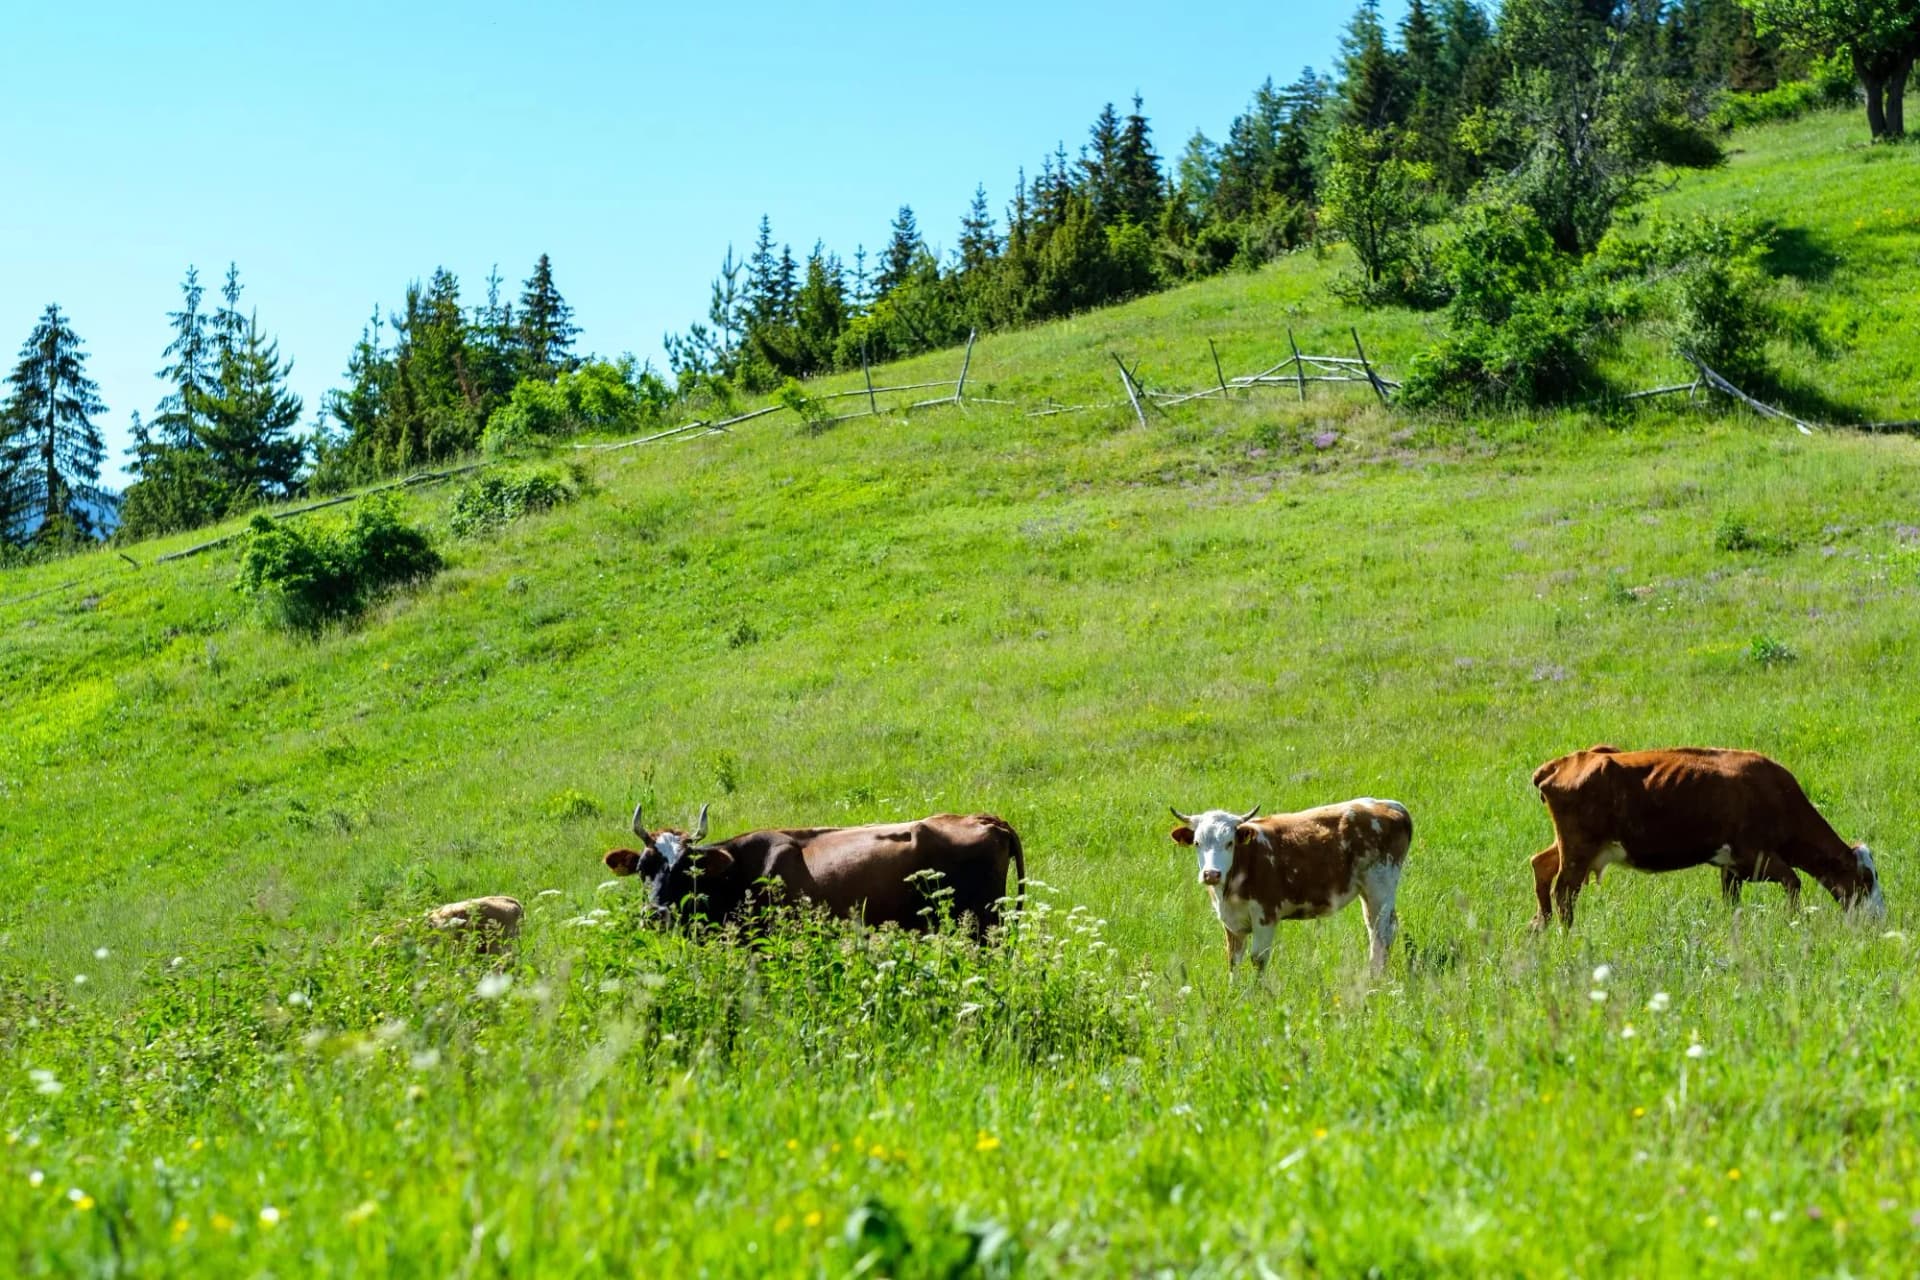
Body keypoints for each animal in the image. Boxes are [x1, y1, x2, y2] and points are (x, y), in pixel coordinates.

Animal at [1168, 798, 1412, 976]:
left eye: (1230, 843)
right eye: (1197, 843)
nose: (1211, 874)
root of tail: (1389, 805)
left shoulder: (1265, 915)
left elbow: (1258, 959)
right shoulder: (1231, 922)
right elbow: (1233, 960)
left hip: (1381, 885)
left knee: (1383, 932)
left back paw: (1376, 977)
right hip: (1368, 891)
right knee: (1376, 929)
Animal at [1528, 745, 1885, 929]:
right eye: (1867, 879)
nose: (1878, 919)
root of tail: (1562, 763)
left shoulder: (1731, 867)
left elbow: (1732, 902)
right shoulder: (1756, 855)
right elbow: (1793, 881)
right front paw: (1793, 921)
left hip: (1572, 846)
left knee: (1540, 865)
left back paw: (1540, 927)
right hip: (1578, 849)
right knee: (1564, 890)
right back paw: (1567, 934)